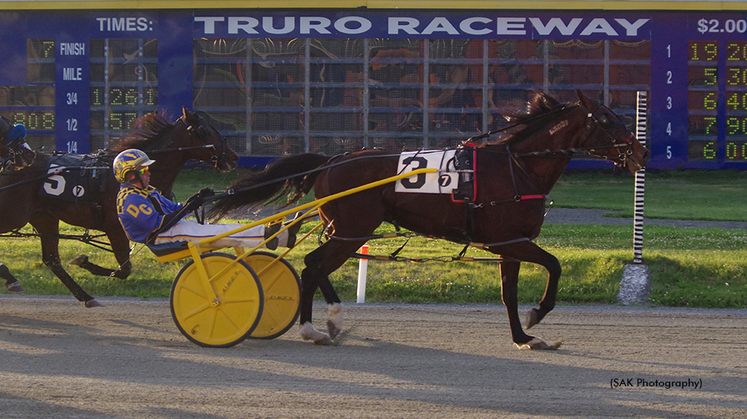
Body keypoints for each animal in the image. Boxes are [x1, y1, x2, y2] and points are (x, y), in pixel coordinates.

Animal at [0, 107, 237, 306]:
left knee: (52, 260)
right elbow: (124, 270)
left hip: (44, 217)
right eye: (204, 131)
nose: (233, 157)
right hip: (14, 215)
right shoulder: (115, 228)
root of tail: (11, 164)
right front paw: (85, 263)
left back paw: (85, 297)